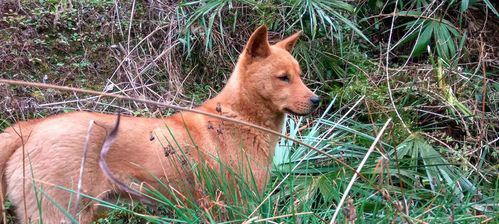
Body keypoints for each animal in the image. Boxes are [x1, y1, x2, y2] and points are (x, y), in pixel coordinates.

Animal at [0, 25, 320, 222]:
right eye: (283, 78)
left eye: (300, 75)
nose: (317, 100)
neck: (237, 118)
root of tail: (31, 128)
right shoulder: (237, 206)